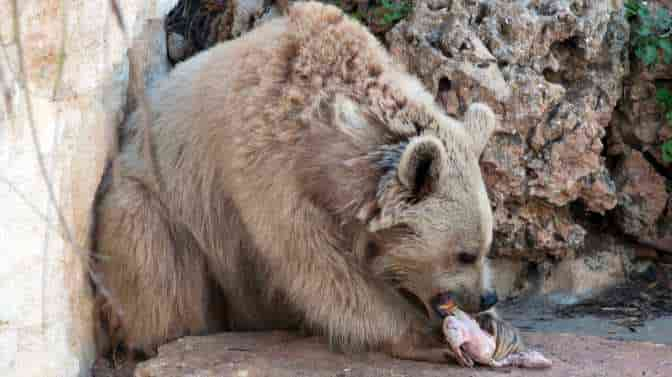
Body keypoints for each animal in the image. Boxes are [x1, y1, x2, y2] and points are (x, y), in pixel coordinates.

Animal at [90, 0, 498, 364]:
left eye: (486, 246)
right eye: (465, 253)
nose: (487, 298)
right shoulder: (268, 169)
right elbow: (319, 268)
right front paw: (429, 337)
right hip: (156, 202)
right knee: (156, 262)